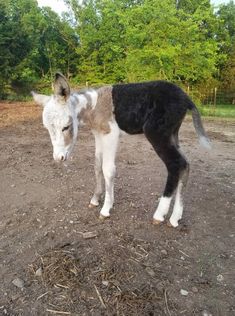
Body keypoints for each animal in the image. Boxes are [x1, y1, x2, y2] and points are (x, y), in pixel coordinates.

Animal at [32, 73, 210, 227]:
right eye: (47, 128)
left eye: (66, 127)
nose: (59, 158)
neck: (94, 106)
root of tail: (186, 98)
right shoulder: (98, 134)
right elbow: (97, 166)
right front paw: (95, 199)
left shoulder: (111, 134)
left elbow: (108, 169)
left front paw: (105, 209)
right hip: (172, 134)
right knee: (185, 164)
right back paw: (175, 218)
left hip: (157, 133)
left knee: (175, 164)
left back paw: (159, 215)